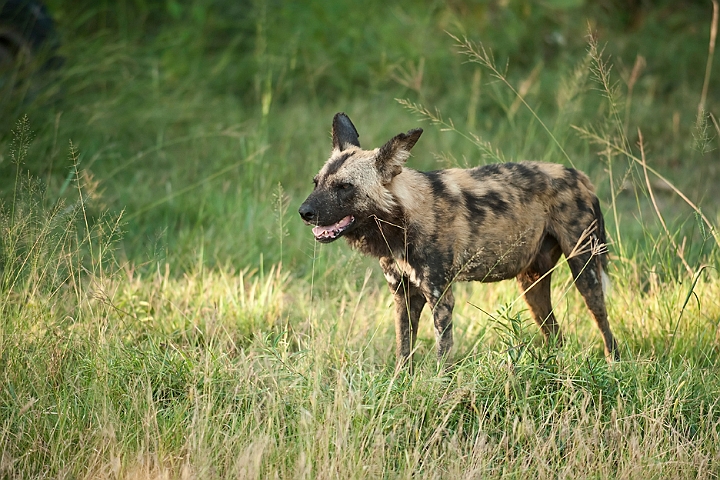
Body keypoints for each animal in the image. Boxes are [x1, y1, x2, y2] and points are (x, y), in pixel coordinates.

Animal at [298, 113, 620, 368]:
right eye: (316, 182)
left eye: (344, 187)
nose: (304, 212)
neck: (401, 222)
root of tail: (579, 175)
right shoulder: (402, 295)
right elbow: (404, 349)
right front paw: (401, 383)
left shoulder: (439, 296)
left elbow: (443, 351)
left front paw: (439, 388)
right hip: (531, 283)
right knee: (555, 334)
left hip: (584, 270)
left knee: (604, 325)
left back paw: (613, 365)